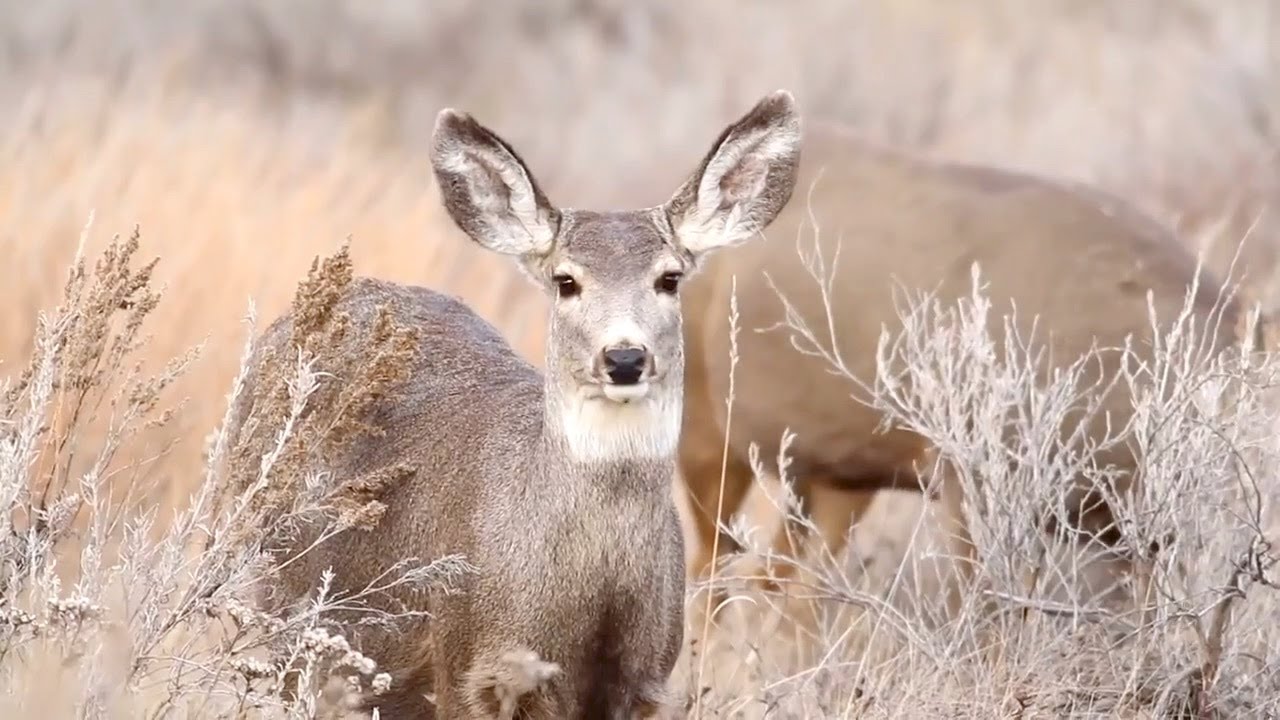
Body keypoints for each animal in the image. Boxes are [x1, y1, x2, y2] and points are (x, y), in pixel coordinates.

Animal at [229, 91, 803, 718]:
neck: (596, 591)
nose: (625, 357)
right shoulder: (465, 665)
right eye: (566, 281)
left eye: (670, 278)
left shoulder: (646, 678)